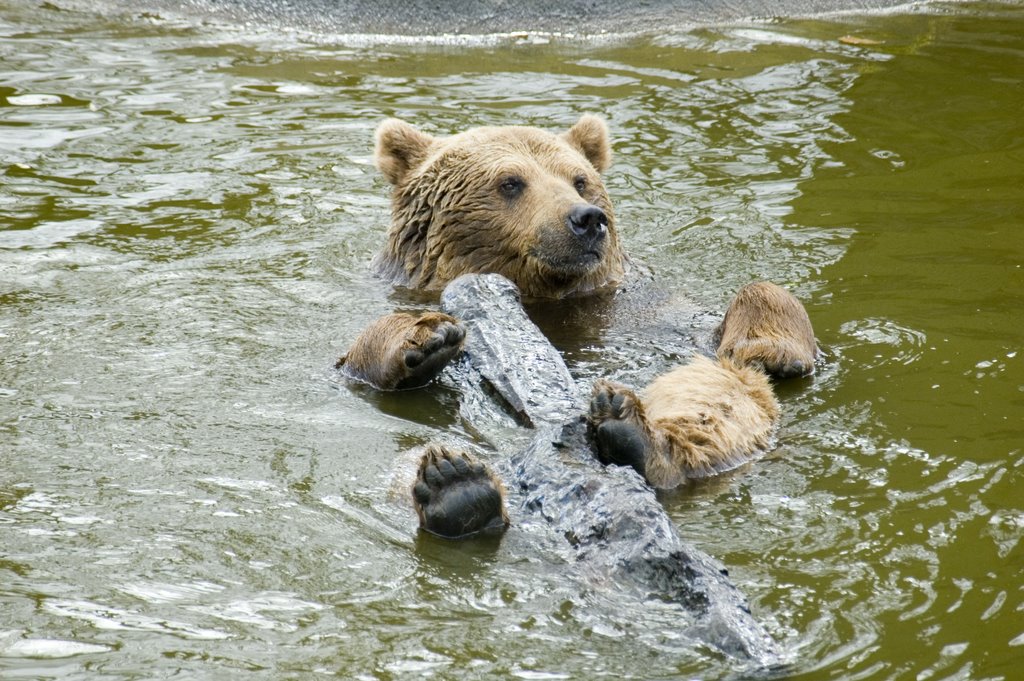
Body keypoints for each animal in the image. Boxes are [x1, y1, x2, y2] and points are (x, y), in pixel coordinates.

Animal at [339, 114, 819, 532]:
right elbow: (364, 357)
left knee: (718, 394)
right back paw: (457, 491)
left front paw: (774, 346)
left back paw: (635, 435)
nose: (587, 218)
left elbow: (730, 328)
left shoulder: (640, 309)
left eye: (579, 179)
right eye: (510, 182)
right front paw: (429, 338)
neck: (548, 296)